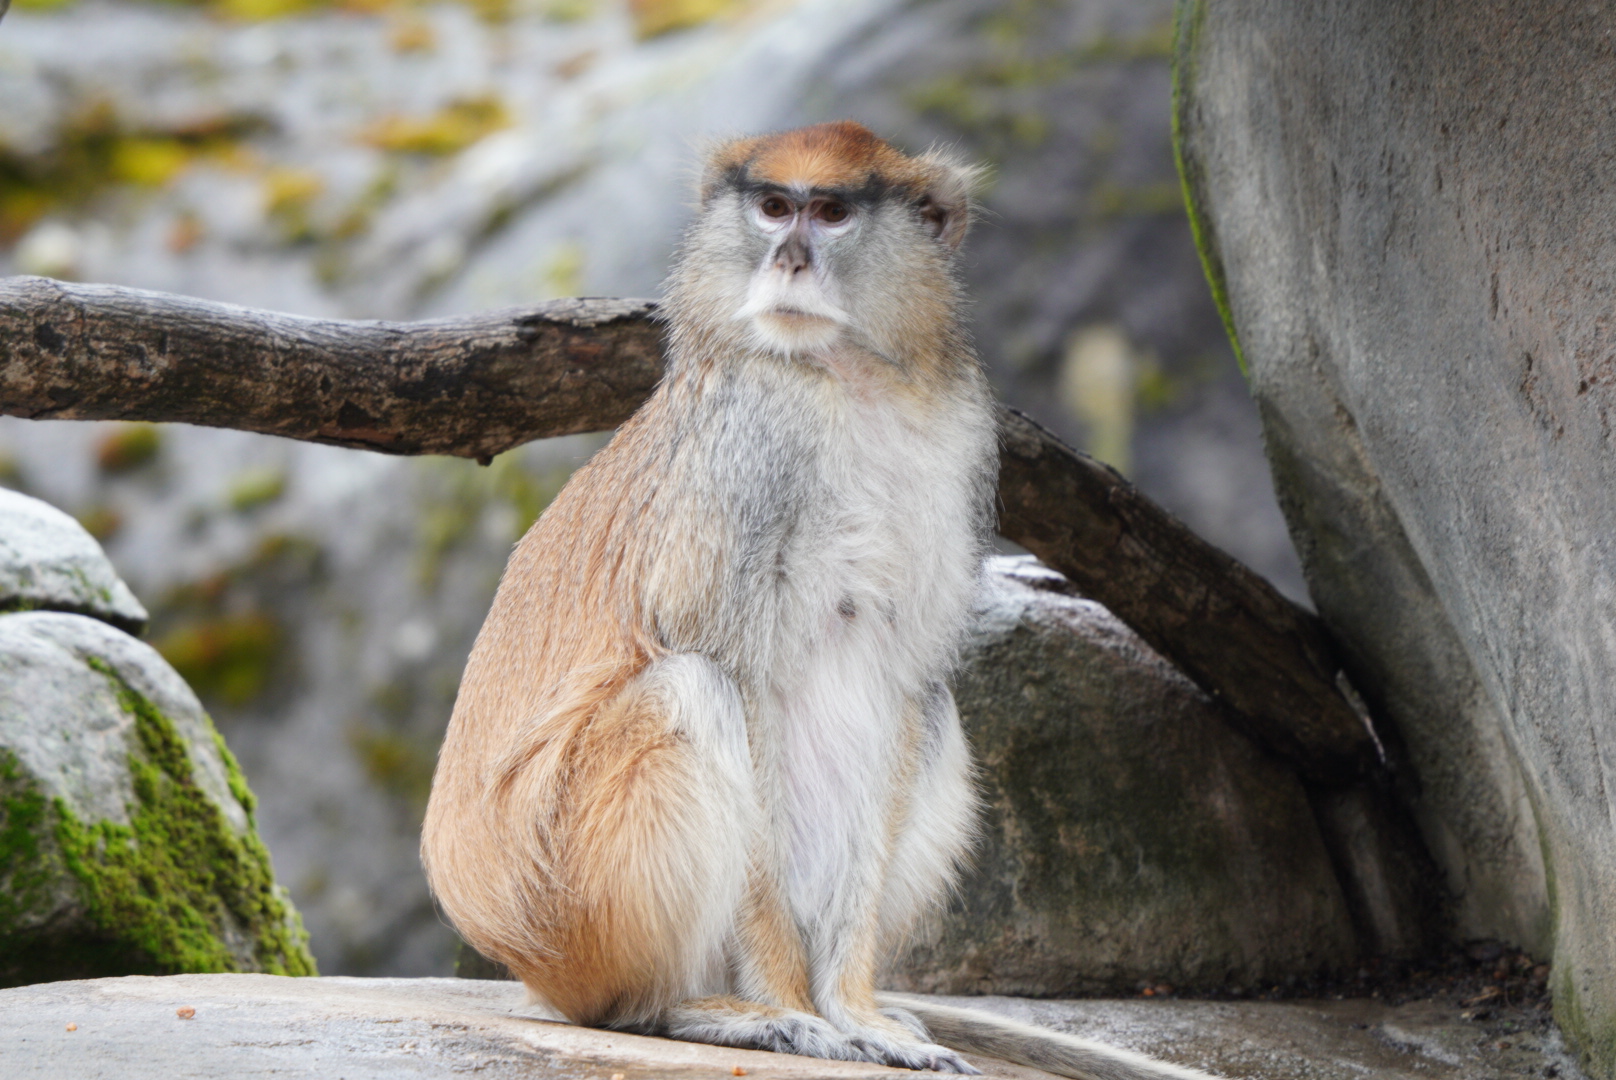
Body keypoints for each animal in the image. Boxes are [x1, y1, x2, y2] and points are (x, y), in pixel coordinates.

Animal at [421, 122, 1218, 1080]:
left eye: (832, 213)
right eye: (773, 207)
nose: (790, 260)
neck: (847, 382)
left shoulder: (953, 441)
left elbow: (898, 685)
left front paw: (858, 1009)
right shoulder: (755, 443)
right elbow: (738, 677)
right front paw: (791, 1006)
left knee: (932, 709)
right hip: (571, 913)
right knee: (693, 690)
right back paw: (682, 1008)